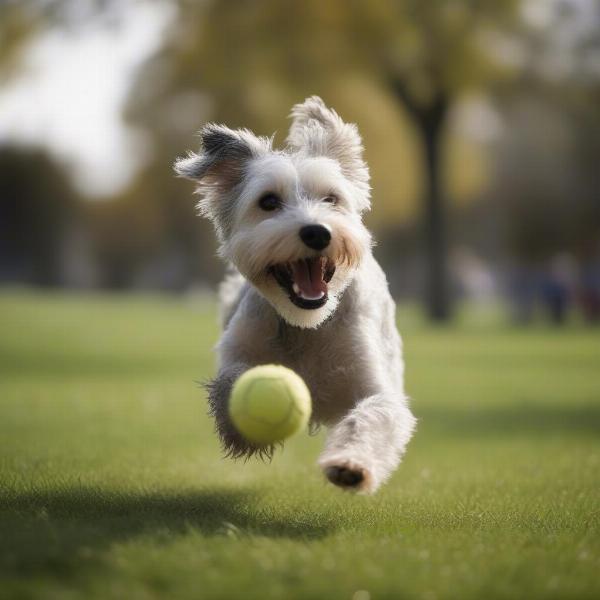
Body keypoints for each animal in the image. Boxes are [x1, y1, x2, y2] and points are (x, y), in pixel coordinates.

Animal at [176, 97, 414, 492]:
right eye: (269, 202)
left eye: (331, 198)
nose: (317, 232)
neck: (307, 325)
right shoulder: (239, 349)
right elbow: (228, 383)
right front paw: (243, 432)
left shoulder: (374, 385)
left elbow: (373, 415)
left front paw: (351, 465)